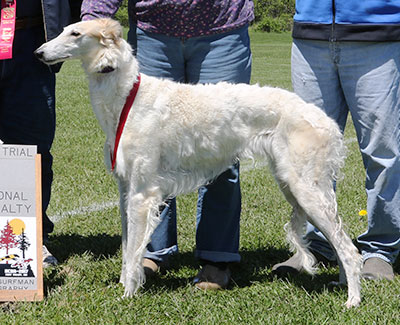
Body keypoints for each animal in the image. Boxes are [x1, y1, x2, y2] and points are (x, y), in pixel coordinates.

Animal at [35, 17, 362, 306]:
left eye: (75, 33)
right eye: (64, 30)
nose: (39, 53)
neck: (129, 95)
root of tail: (327, 123)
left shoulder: (142, 194)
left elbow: (133, 252)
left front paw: (127, 295)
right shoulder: (125, 190)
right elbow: (128, 248)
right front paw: (126, 283)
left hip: (306, 189)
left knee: (348, 249)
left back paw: (353, 300)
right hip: (293, 184)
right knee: (340, 246)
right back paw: (342, 285)